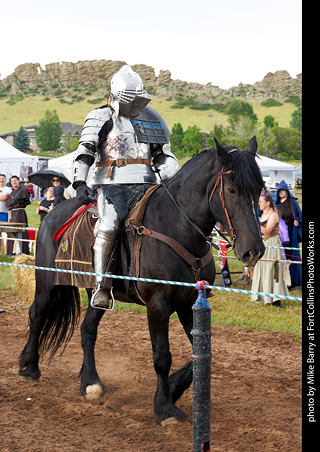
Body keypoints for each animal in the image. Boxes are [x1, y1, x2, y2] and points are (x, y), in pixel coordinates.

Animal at [18, 136, 266, 426]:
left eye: (259, 189)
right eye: (232, 189)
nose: (254, 251)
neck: (177, 226)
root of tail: (52, 215)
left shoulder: (189, 304)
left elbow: (203, 354)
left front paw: (173, 389)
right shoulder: (157, 305)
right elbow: (162, 357)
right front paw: (165, 408)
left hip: (97, 293)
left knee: (87, 330)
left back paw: (91, 383)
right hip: (48, 282)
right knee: (37, 315)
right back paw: (30, 366)